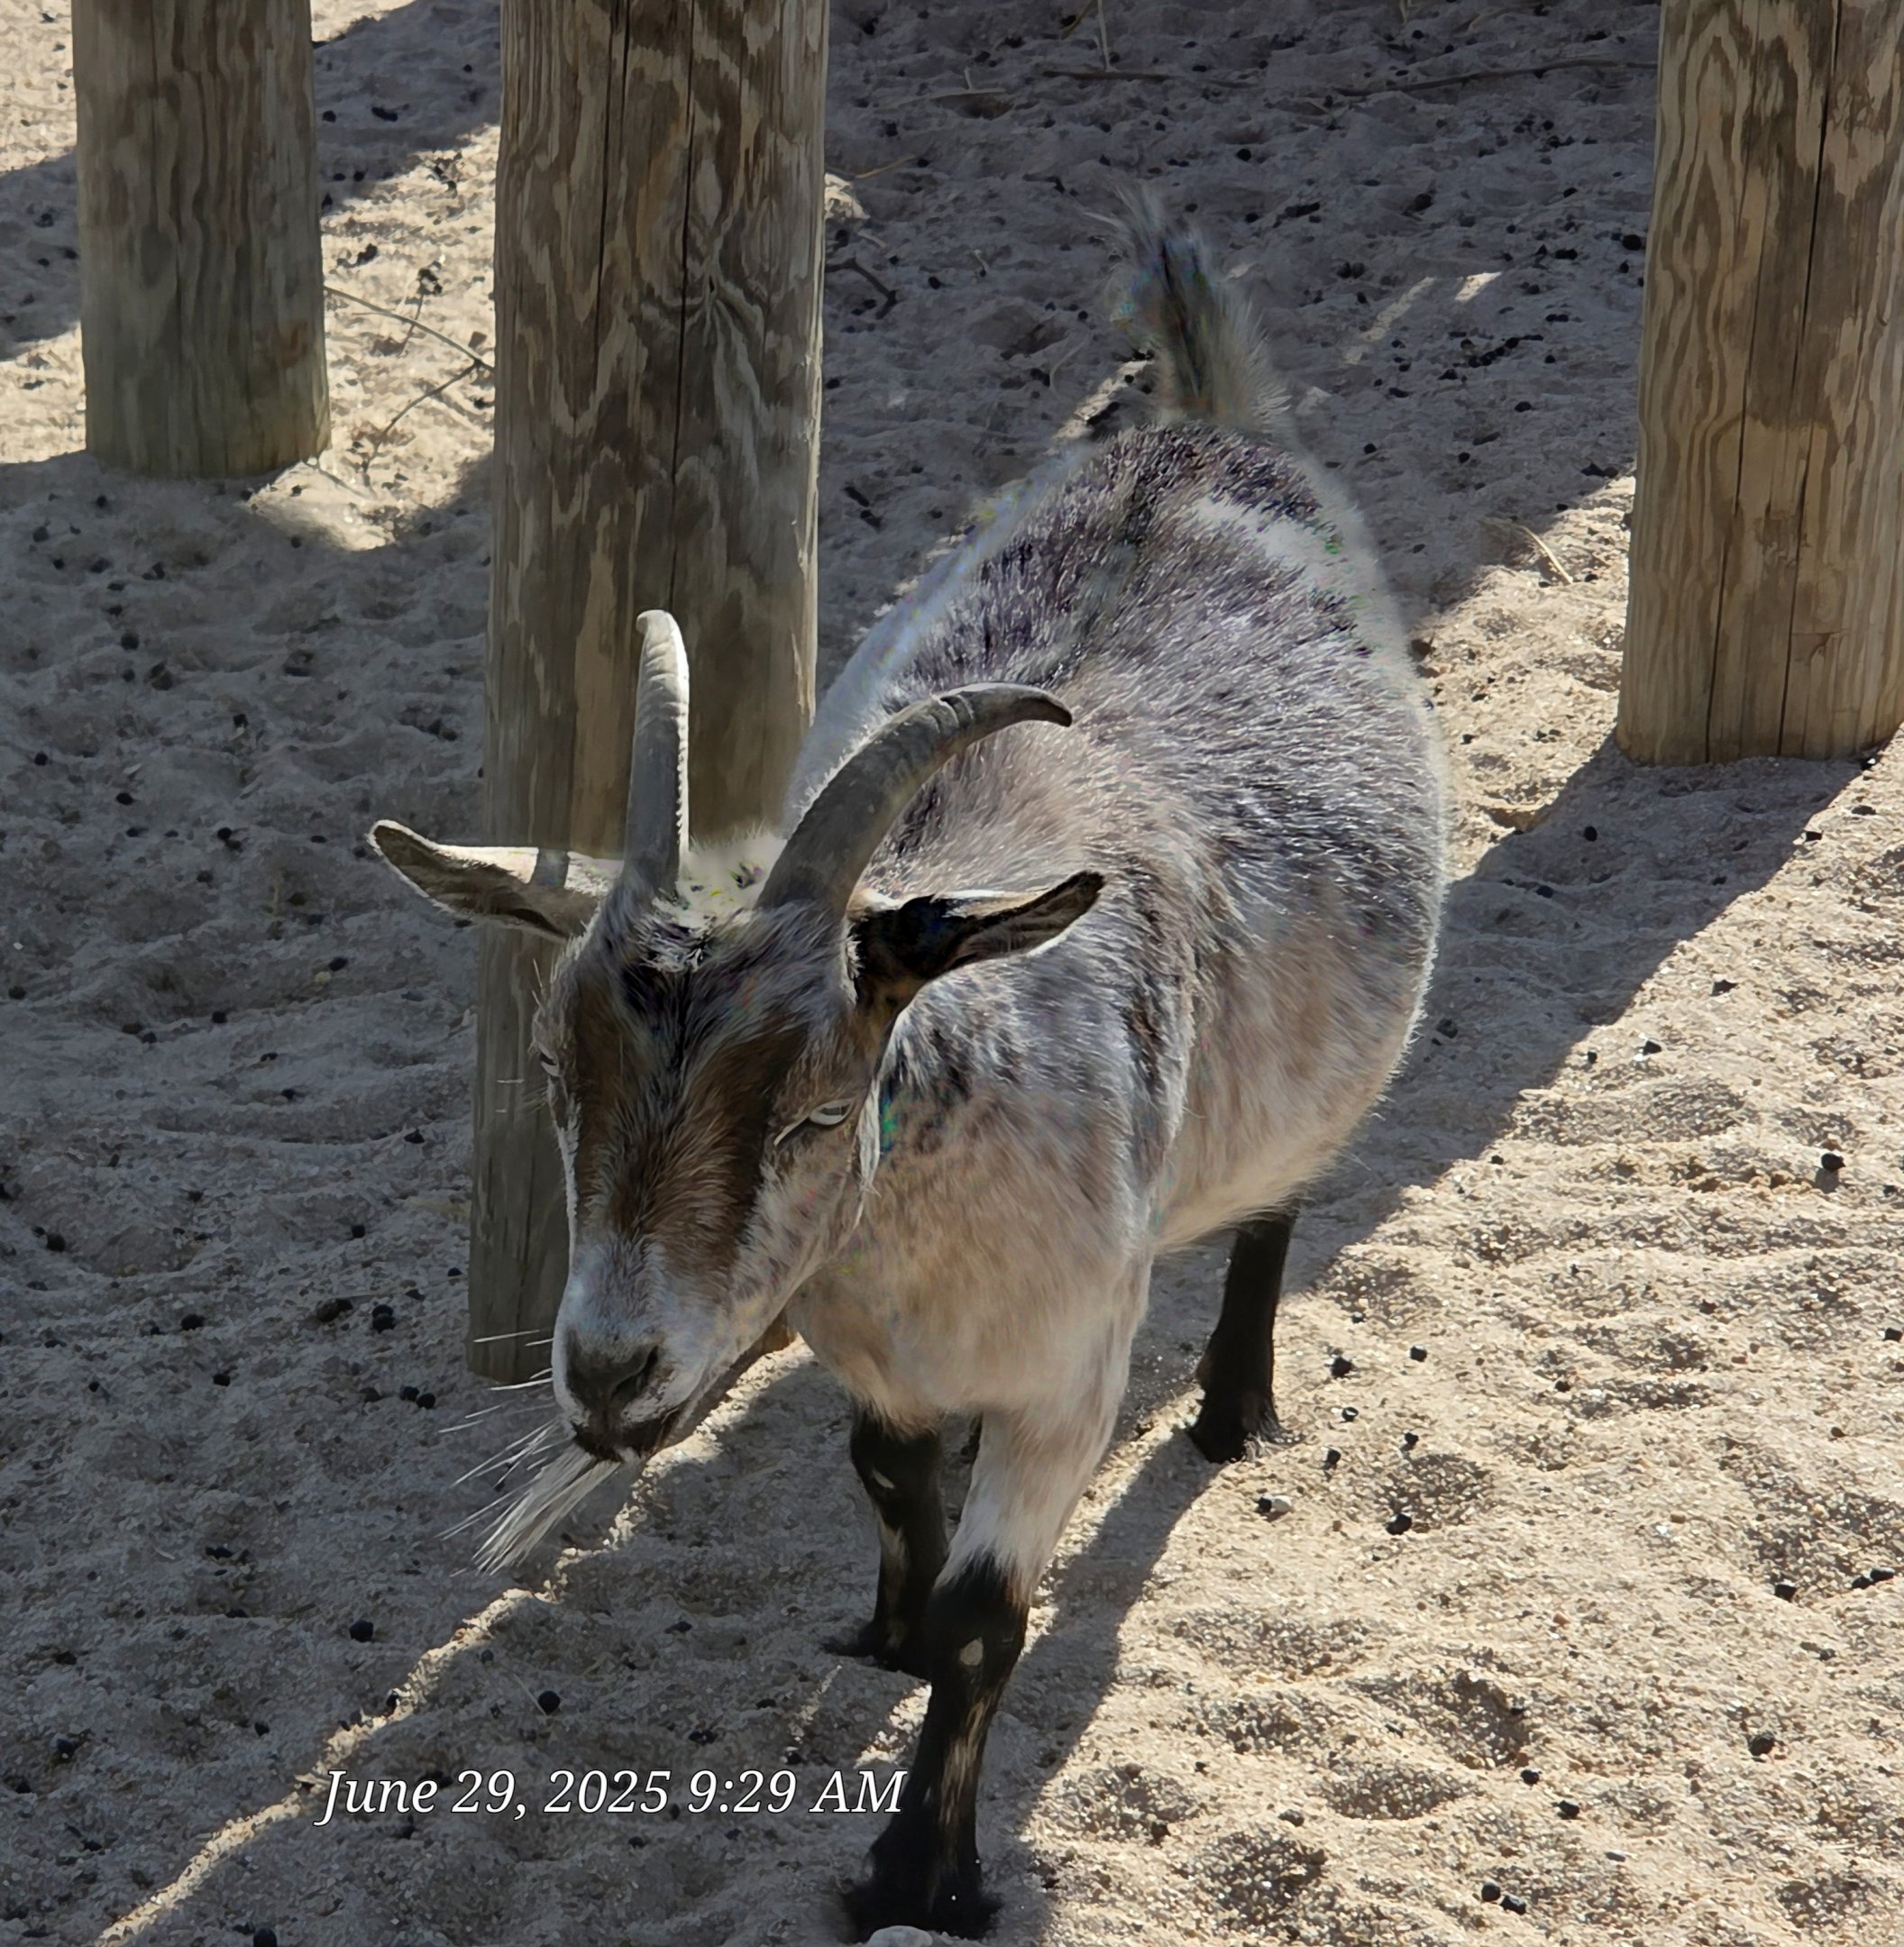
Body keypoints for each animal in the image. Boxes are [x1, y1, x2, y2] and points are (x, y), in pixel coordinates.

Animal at [369, 202, 1448, 1939]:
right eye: (554, 1081)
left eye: (816, 1108)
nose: (604, 1380)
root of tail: (1207, 420)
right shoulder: (861, 1349)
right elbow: (884, 1475)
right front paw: (878, 1632)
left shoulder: (1066, 1380)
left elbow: (985, 1622)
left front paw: (922, 1873)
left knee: (1281, 1195)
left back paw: (1231, 1410)